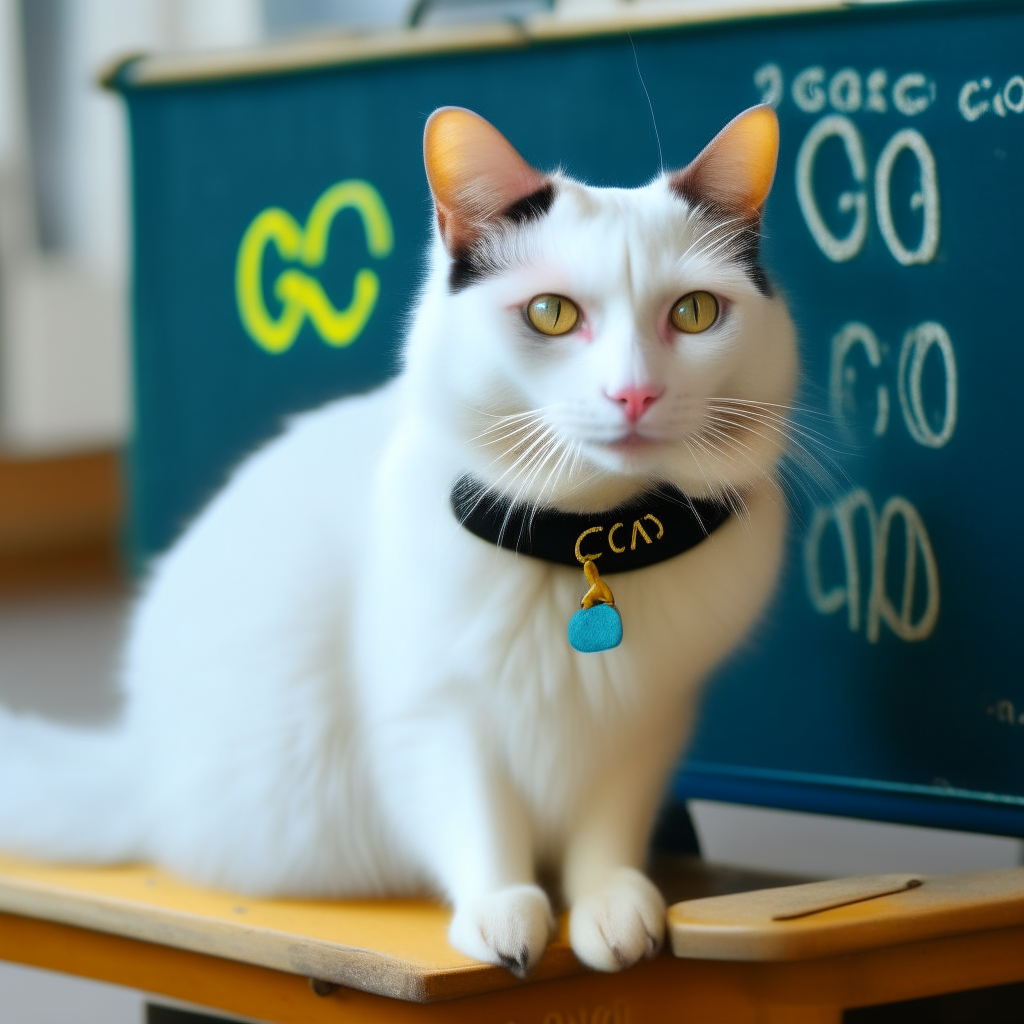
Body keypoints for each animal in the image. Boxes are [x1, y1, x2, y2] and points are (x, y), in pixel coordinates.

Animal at [0, 103, 794, 974]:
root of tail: (135, 763)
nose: (634, 393)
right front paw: (502, 911)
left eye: (694, 313)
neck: (588, 545)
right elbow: (480, 820)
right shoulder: (431, 715)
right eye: (551, 314)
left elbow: (607, 831)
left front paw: (611, 903)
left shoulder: (644, 726)